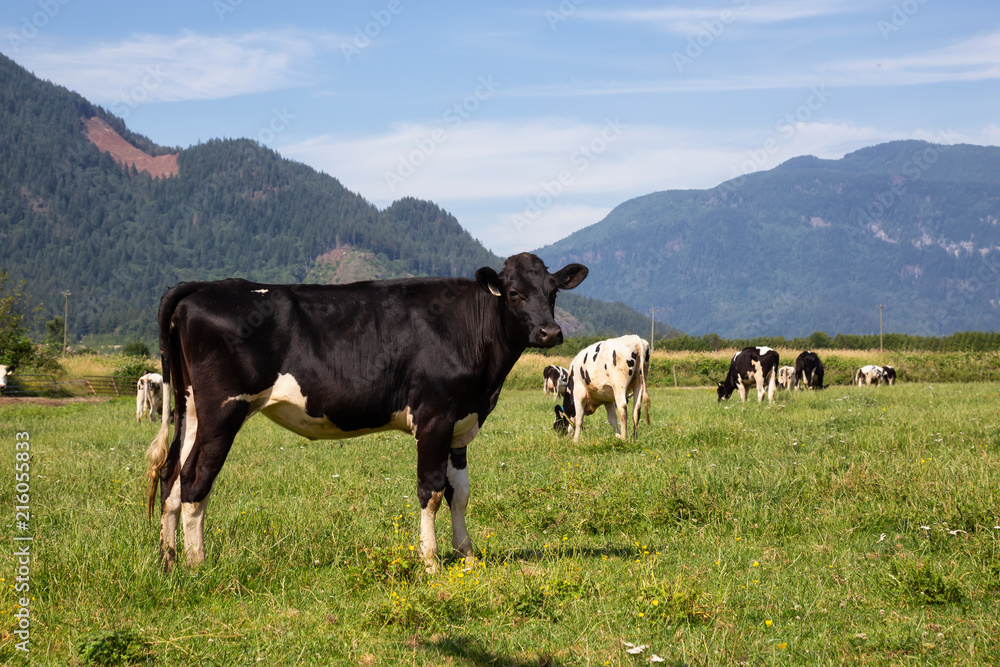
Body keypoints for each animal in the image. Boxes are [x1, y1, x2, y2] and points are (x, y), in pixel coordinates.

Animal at [145, 253, 588, 572]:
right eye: (513, 293)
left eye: (552, 292)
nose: (550, 332)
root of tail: (204, 288)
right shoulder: (434, 419)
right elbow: (430, 492)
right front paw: (430, 562)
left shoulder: (460, 424)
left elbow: (458, 493)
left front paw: (467, 555)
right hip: (223, 411)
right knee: (194, 479)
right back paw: (197, 564)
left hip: (191, 409)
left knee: (170, 476)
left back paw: (168, 561)